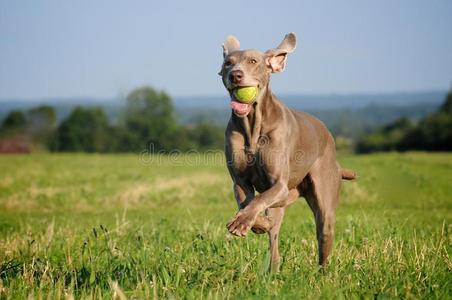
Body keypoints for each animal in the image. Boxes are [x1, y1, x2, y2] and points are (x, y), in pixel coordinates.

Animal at [220, 32, 356, 272]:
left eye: (253, 61)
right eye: (228, 63)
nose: (235, 75)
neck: (254, 126)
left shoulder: (279, 185)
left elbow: (258, 201)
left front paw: (244, 222)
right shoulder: (240, 182)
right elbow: (248, 203)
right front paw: (254, 223)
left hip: (326, 202)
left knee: (324, 236)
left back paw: (322, 274)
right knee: (274, 243)